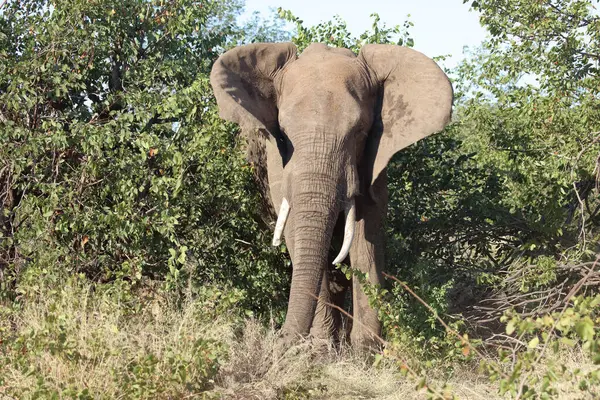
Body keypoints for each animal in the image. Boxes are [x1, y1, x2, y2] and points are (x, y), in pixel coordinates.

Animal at [210, 43, 450, 346]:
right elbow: (296, 231)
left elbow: (366, 239)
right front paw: (322, 347)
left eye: (359, 131)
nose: (282, 338)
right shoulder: (278, 165)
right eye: (284, 133)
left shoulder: (375, 162)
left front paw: (365, 350)